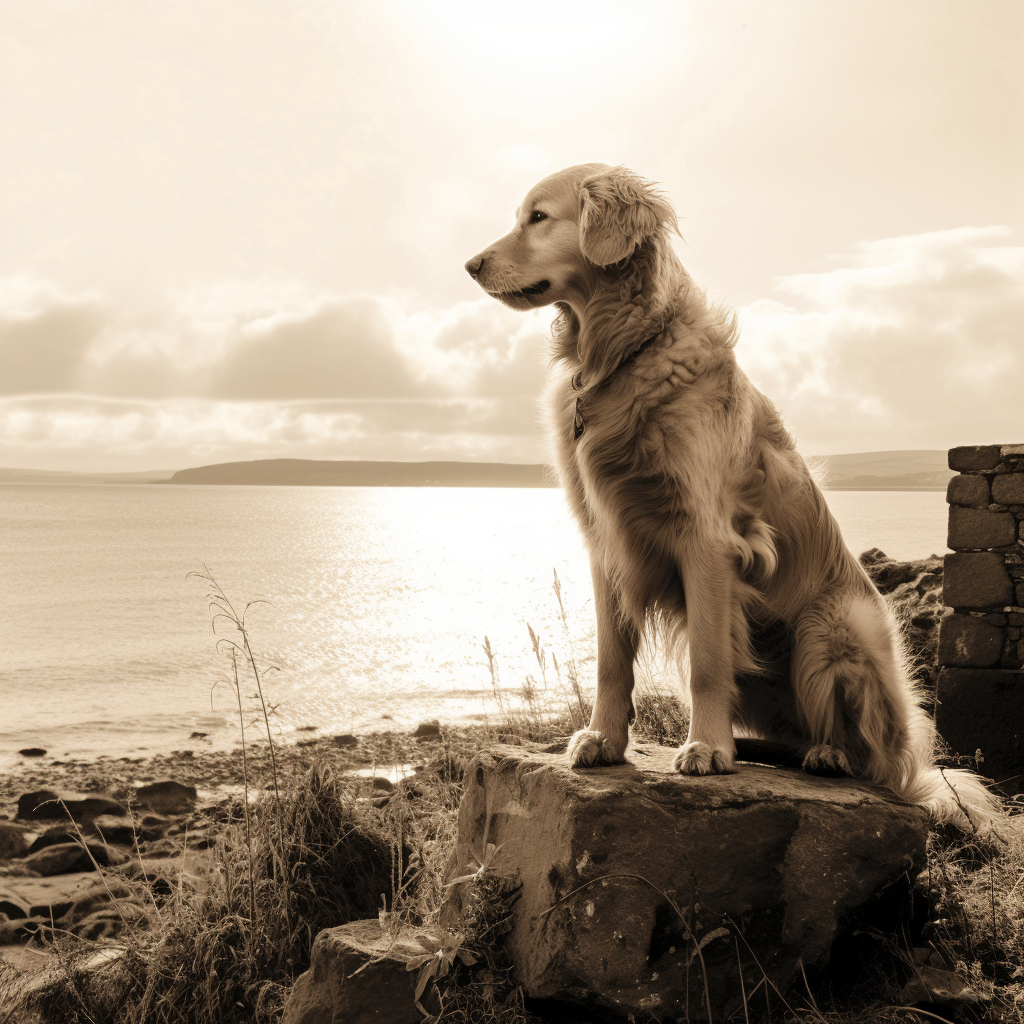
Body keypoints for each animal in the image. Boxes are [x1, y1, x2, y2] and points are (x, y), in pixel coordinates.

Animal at [468, 163, 999, 827]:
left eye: (538, 218)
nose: (470, 264)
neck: (624, 353)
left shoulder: (707, 539)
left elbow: (707, 663)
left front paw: (707, 749)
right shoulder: (606, 546)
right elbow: (612, 661)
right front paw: (605, 740)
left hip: (833, 625)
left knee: (871, 753)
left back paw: (828, 756)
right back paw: (766, 748)